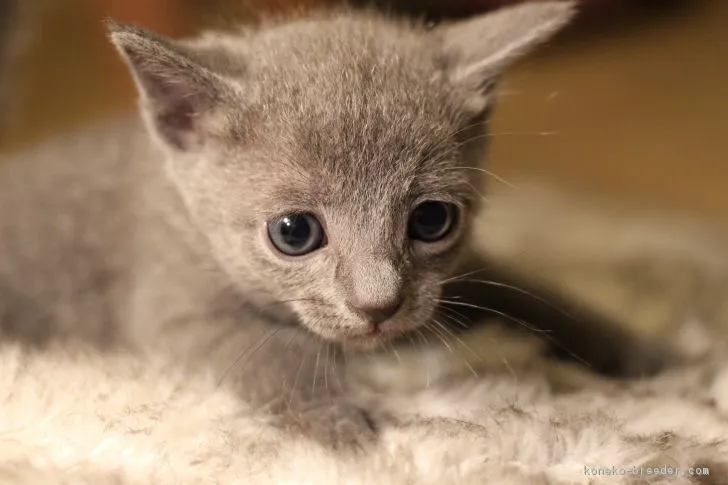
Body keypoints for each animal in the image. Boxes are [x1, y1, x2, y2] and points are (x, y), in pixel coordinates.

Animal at [0, 1, 656, 450]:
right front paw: (343, 429)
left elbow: (531, 292)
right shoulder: (173, 305)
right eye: (294, 232)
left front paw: (642, 353)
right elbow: (272, 350)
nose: (378, 304)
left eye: (433, 219)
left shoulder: (460, 276)